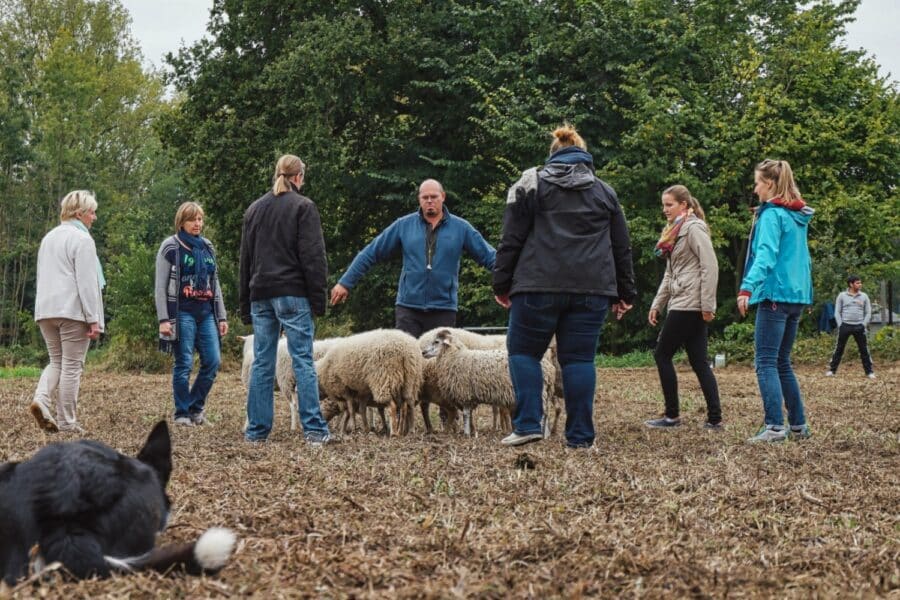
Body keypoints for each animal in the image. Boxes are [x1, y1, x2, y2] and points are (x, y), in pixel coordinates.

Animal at [421, 328, 556, 437]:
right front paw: (469, 432)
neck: (456, 356)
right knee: (546, 414)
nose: (423, 352)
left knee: (543, 415)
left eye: (436, 341)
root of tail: (549, 368)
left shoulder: (464, 393)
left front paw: (466, 434)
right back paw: (545, 435)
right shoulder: (469, 396)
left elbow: (465, 415)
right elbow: (469, 414)